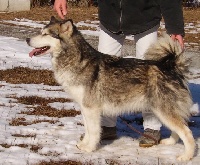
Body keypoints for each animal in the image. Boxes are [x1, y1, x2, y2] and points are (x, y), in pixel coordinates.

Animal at [26, 16, 195, 161]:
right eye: (41, 32)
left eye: (46, 34)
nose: (27, 39)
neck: (77, 60)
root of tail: (171, 67)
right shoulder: (85, 107)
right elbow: (88, 129)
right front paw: (83, 144)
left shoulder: (91, 108)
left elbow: (93, 131)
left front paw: (89, 148)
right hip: (163, 110)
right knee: (179, 128)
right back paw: (170, 142)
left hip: (163, 110)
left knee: (187, 132)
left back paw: (186, 156)